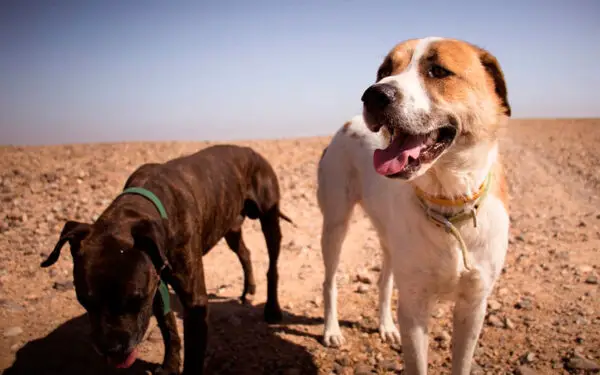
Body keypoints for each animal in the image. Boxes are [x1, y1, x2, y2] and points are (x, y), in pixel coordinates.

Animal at [39, 145, 290, 375]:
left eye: (135, 299)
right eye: (84, 300)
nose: (113, 351)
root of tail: (252, 151)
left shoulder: (193, 302)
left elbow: (194, 355)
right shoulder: (156, 287)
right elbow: (169, 328)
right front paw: (170, 365)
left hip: (269, 219)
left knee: (273, 266)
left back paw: (272, 308)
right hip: (231, 227)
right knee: (245, 253)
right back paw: (249, 289)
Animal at [316, 37, 508, 375]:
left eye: (438, 71)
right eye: (384, 71)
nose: (373, 95)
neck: (448, 209)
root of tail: (347, 123)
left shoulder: (473, 307)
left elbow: (462, 362)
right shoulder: (415, 308)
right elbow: (417, 364)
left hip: (389, 241)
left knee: (384, 281)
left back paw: (386, 326)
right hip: (336, 223)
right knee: (330, 281)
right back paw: (332, 331)